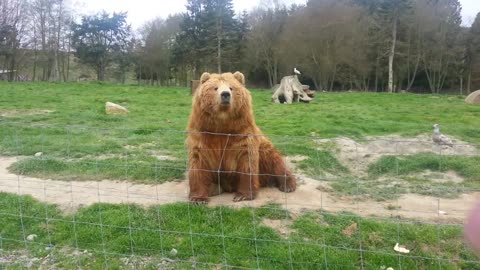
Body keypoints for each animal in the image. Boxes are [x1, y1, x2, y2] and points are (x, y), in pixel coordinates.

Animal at [185, 71, 294, 202]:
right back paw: (214, 188)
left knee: (275, 161)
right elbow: (199, 161)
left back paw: (287, 185)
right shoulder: (203, 133)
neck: (222, 125)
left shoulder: (241, 133)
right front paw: (198, 198)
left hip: (264, 149)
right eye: (215, 88)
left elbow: (246, 161)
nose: (225, 94)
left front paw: (242, 195)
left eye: (231, 88)